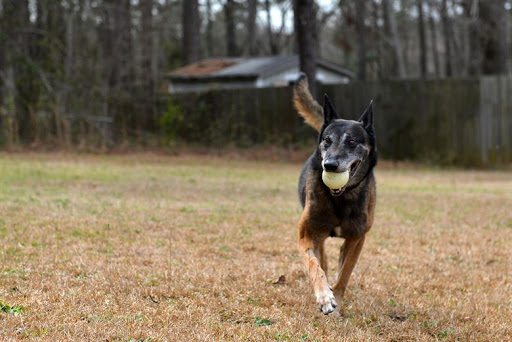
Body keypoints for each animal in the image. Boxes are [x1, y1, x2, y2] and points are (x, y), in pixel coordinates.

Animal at [292, 75, 376, 316]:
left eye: (351, 142)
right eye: (327, 141)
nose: (329, 165)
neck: (340, 198)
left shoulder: (357, 238)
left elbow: (346, 271)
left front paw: (336, 297)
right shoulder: (306, 237)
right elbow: (315, 266)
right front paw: (324, 295)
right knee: (323, 260)